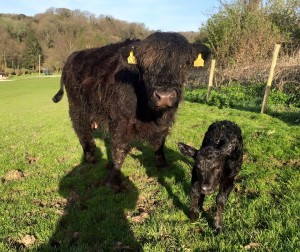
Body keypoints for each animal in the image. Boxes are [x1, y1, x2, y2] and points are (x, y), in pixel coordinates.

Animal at [52, 31, 209, 188]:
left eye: (184, 64)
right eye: (145, 65)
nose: (164, 96)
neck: (149, 113)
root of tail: (74, 55)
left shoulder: (166, 120)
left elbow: (160, 142)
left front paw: (163, 165)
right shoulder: (120, 121)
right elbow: (119, 149)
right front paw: (114, 180)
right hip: (77, 108)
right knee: (82, 131)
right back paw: (90, 157)